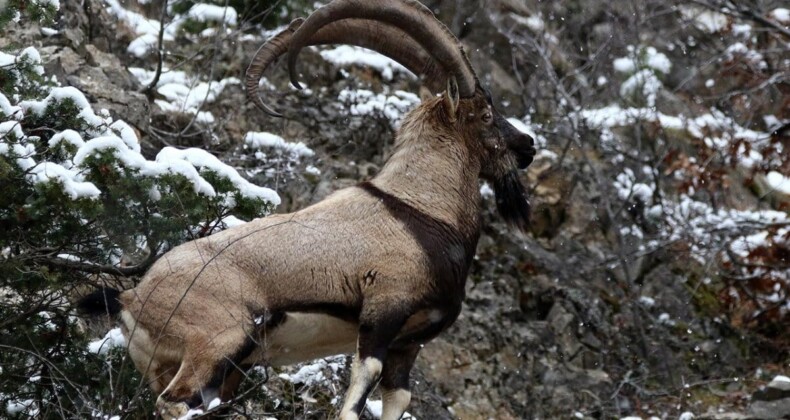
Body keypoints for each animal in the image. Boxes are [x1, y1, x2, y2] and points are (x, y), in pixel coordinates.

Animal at [80, 0, 540, 418]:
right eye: (485, 113)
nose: (528, 146)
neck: (422, 209)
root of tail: (132, 297)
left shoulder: (407, 346)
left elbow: (398, 399)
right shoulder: (383, 312)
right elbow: (356, 395)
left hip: (213, 368)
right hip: (219, 341)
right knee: (175, 402)